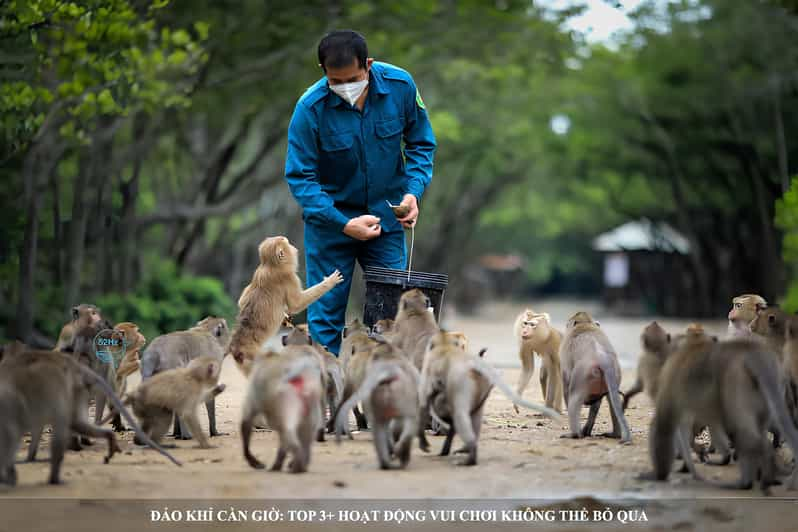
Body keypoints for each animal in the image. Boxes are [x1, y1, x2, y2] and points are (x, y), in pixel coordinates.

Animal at [230, 235, 346, 376]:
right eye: (288, 244)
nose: (294, 248)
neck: (270, 266)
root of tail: (237, 347)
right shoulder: (290, 277)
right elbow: (296, 304)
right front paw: (330, 282)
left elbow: (241, 301)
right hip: (254, 358)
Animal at [241, 344, 324, 474]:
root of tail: (299, 370)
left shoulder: (254, 387)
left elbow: (247, 420)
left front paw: (253, 461)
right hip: (311, 396)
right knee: (306, 431)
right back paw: (301, 463)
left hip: (287, 397)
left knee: (287, 430)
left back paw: (296, 462)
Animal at [560, 312, 636, 444]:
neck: (585, 324)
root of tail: (603, 358)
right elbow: (597, 403)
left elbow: (566, 387)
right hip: (614, 373)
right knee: (612, 400)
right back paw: (615, 434)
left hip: (582, 374)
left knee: (574, 399)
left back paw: (574, 434)